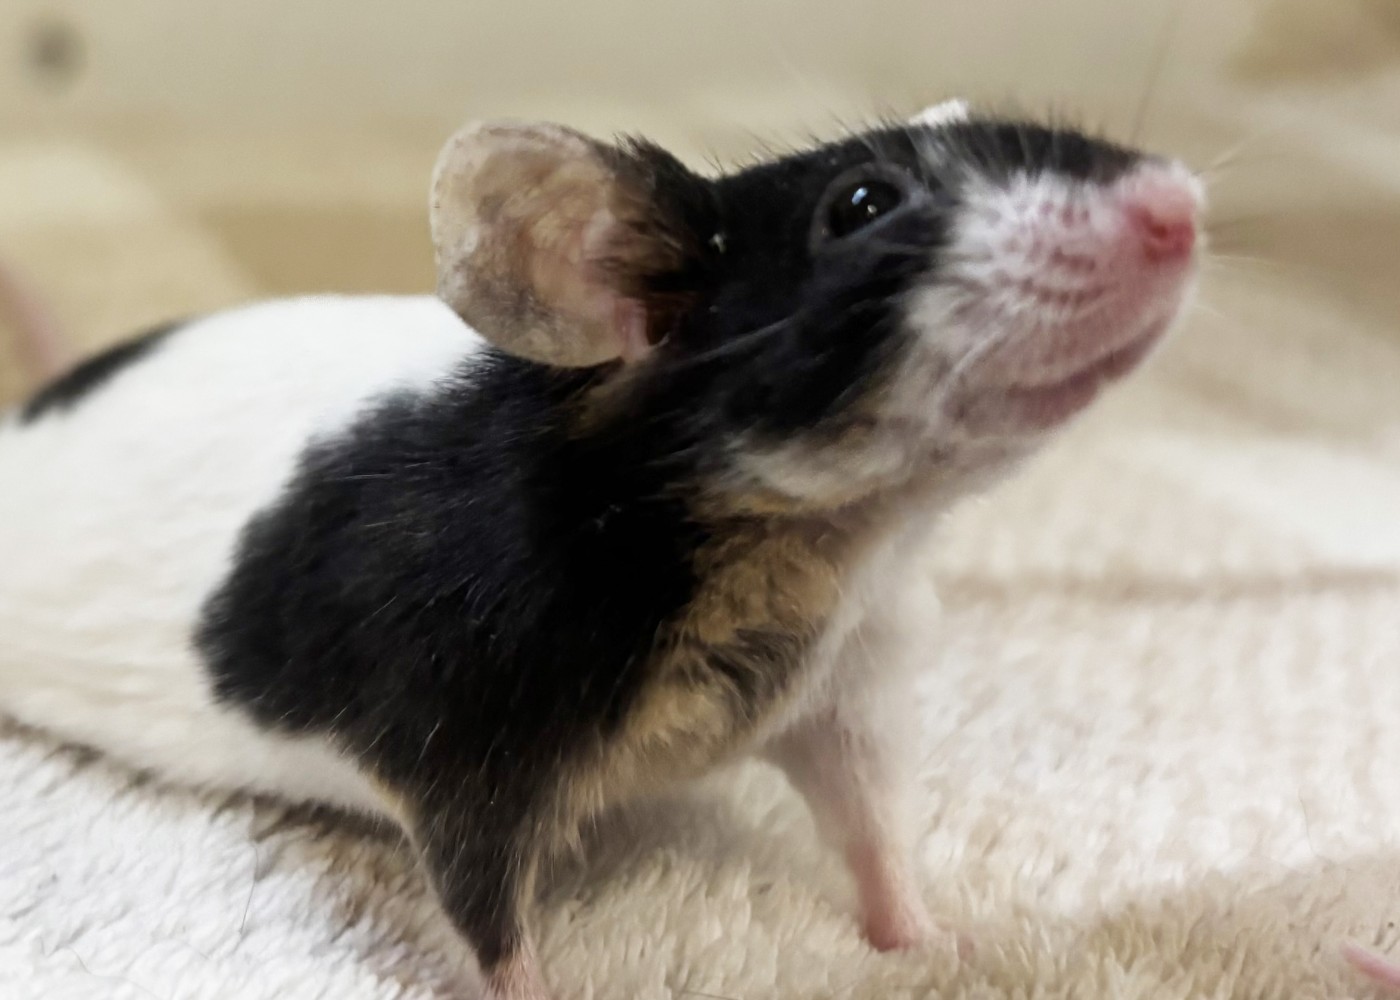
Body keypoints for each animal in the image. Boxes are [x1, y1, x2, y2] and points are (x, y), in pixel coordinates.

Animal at [0, 103, 1202, 1000]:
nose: (1177, 208)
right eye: (863, 204)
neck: (819, 540)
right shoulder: (466, 715)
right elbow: (481, 903)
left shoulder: (854, 665)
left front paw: (935, 938)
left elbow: (872, 819)